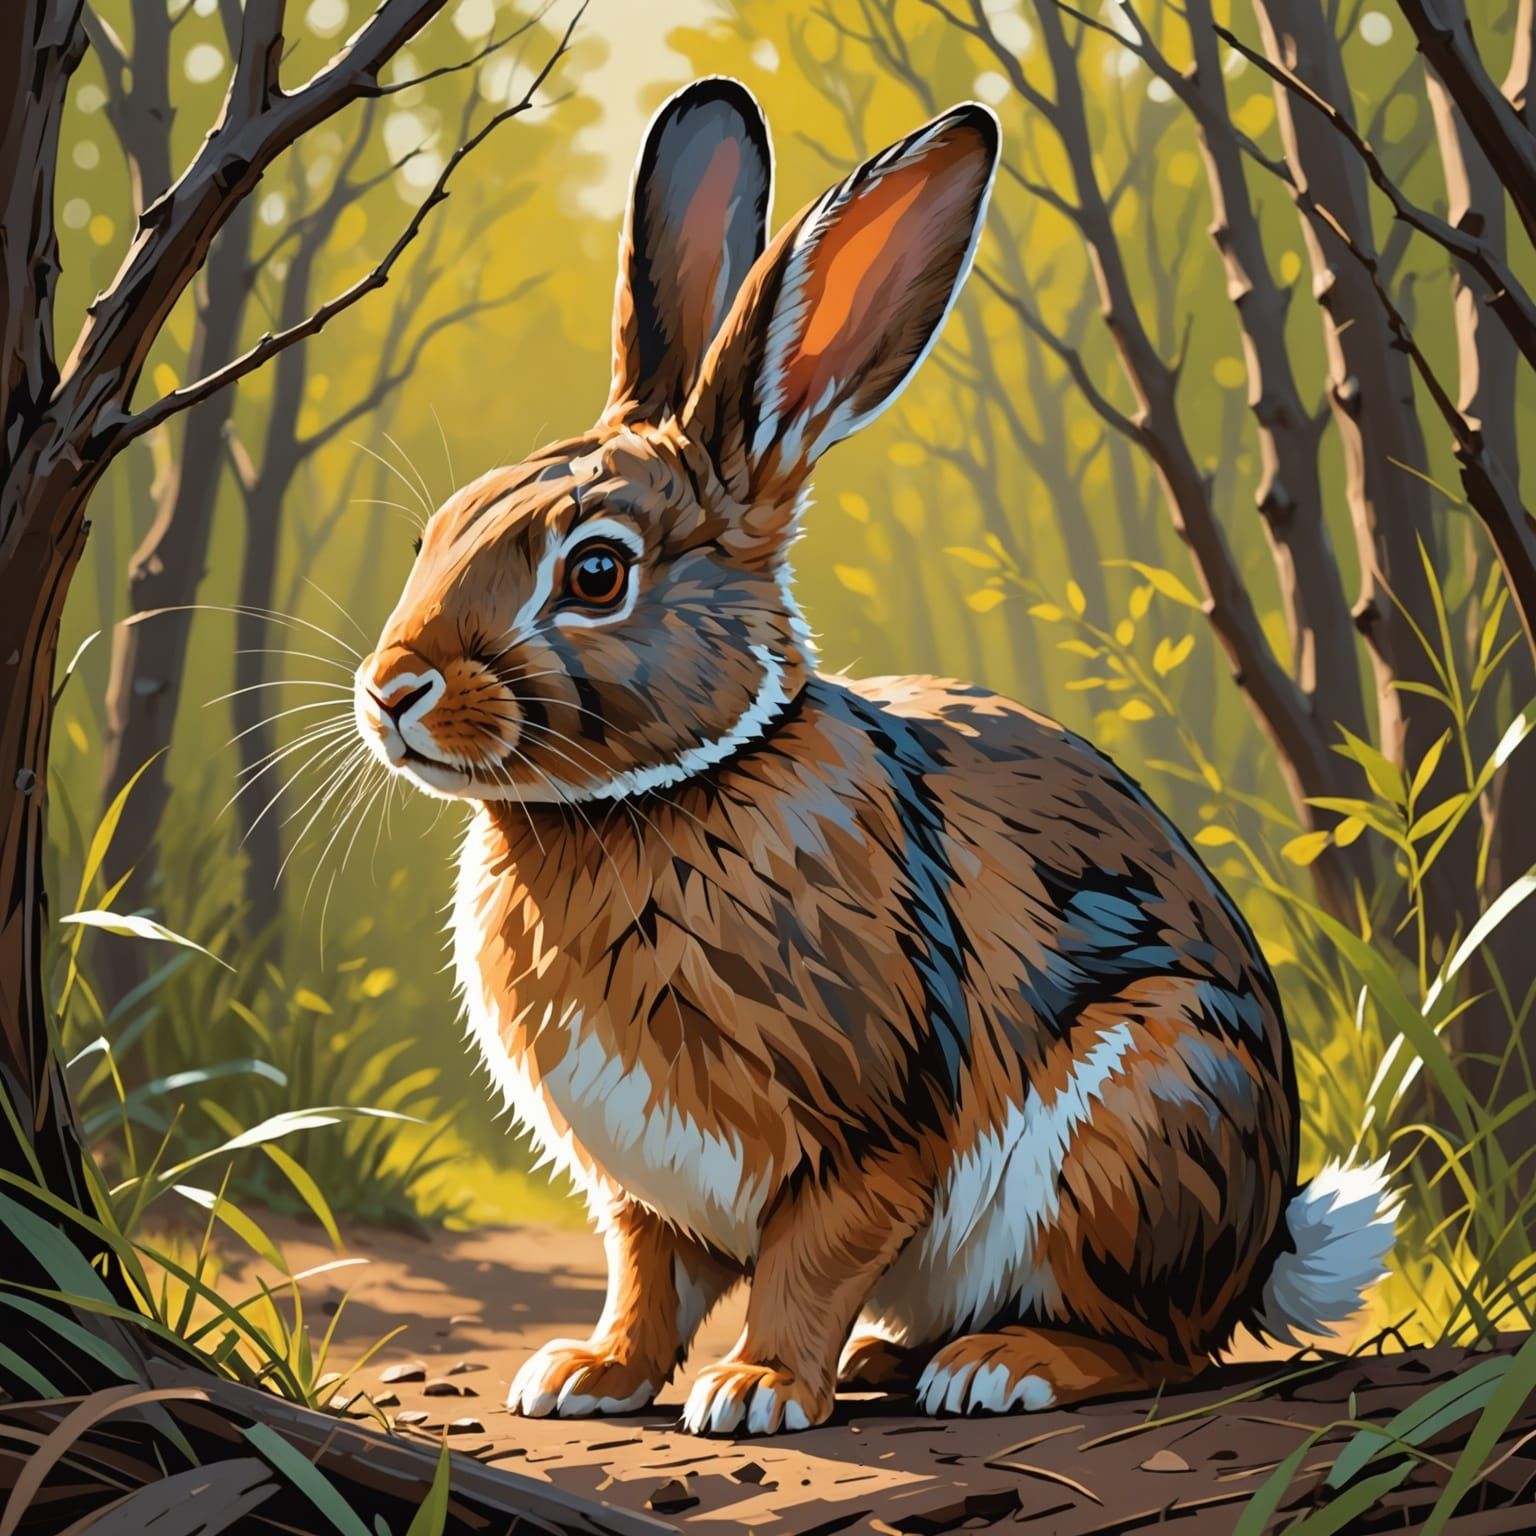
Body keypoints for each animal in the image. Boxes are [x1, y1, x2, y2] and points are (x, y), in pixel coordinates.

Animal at [353, 77, 1396, 1436]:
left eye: (595, 574)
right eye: (440, 528)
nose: (391, 693)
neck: (654, 799)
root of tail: (1267, 1243)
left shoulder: (870, 1134)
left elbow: (808, 1263)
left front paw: (752, 1393)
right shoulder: (640, 1185)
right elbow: (643, 1276)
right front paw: (588, 1377)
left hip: (1146, 1120)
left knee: (1154, 1343)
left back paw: (998, 1368)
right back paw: (890, 1363)